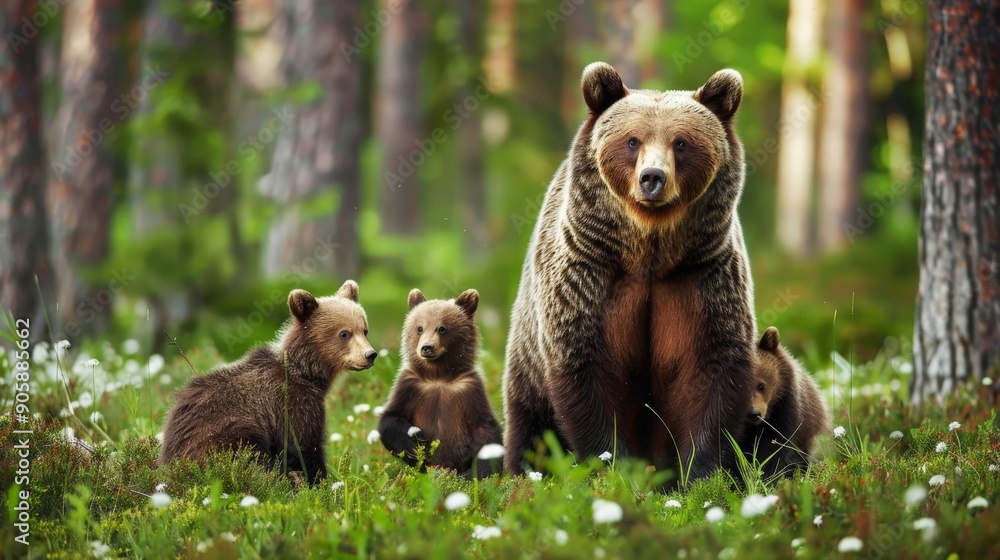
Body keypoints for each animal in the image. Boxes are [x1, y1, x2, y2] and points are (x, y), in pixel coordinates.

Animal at [158, 280, 377, 485]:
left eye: (364, 330)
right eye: (344, 333)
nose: (370, 355)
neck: (306, 373)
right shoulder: (293, 403)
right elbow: (303, 446)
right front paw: (318, 481)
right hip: (223, 432)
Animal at [378, 289, 503, 478]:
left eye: (442, 328)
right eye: (420, 328)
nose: (427, 347)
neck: (439, 376)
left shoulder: (470, 389)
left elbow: (486, 430)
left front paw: (474, 473)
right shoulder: (410, 385)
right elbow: (390, 419)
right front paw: (414, 445)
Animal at [502, 61, 756, 482]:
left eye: (681, 142)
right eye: (632, 140)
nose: (652, 177)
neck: (648, 250)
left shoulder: (703, 278)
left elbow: (711, 368)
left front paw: (700, 471)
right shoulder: (590, 274)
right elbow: (586, 370)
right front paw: (615, 466)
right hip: (526, 361)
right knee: (530, 423)